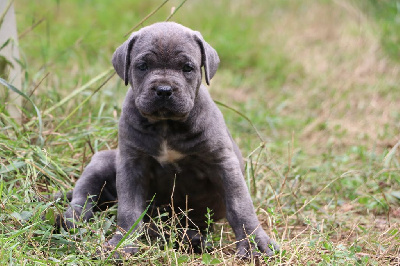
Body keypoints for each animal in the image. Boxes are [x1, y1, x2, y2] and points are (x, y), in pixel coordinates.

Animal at [61, 22, 278, 258]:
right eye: (143, 66)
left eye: (187, 68)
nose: (164, 90)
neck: (166, 125)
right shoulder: (131, 165)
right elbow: (129, 209)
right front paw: (123, 243)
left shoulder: (223, 163)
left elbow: (240, 205)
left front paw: (255, 244)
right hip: (103, 161)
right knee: (85, 193)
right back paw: (72, 219)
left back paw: (191, 239)